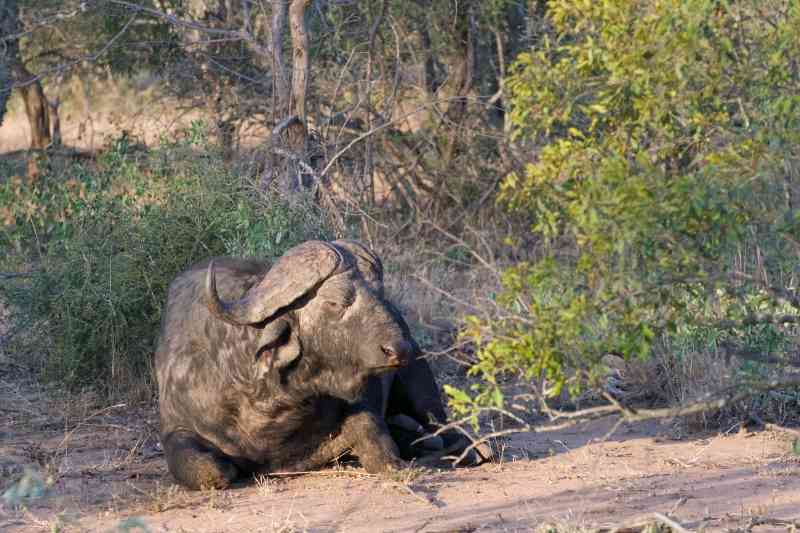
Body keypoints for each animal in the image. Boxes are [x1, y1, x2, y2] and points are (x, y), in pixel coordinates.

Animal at [155, 239, 481, 489]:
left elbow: (379, 446)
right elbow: (212, 472)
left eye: (380, 294)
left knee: (441, 422)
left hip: (419, 382)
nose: (399, 349)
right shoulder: (176, 430)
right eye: (336, 302)